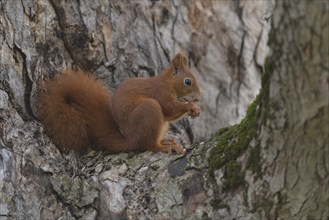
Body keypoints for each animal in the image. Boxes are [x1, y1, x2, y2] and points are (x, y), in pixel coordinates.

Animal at [36, 52, 200, 155]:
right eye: (188, 82)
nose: (198, 98)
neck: (168, 82)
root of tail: (131, 140)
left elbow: (170, 115)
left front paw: (195, 108)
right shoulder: (160, 92)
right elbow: (168, 108)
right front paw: (191, 106)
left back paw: (166, 141)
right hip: (149, 109)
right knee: (149, 145)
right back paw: (164, 147)